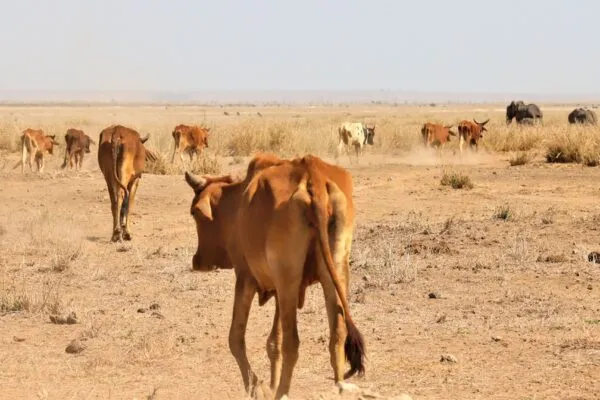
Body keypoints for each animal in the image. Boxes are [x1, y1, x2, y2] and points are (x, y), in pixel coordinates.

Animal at [186, 154, 366, 400]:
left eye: (194, 213)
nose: (197, 261)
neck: (239, 203)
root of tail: (312, 174)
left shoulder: (246, 278)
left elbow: (236, 338)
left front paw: (257, 387)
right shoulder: (281, 290)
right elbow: (274, 342)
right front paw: (269, 383)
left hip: (288, 278)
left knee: (293, 342)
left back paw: (282, 392)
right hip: (334, 269)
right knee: (337, 331)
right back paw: (338, 384)